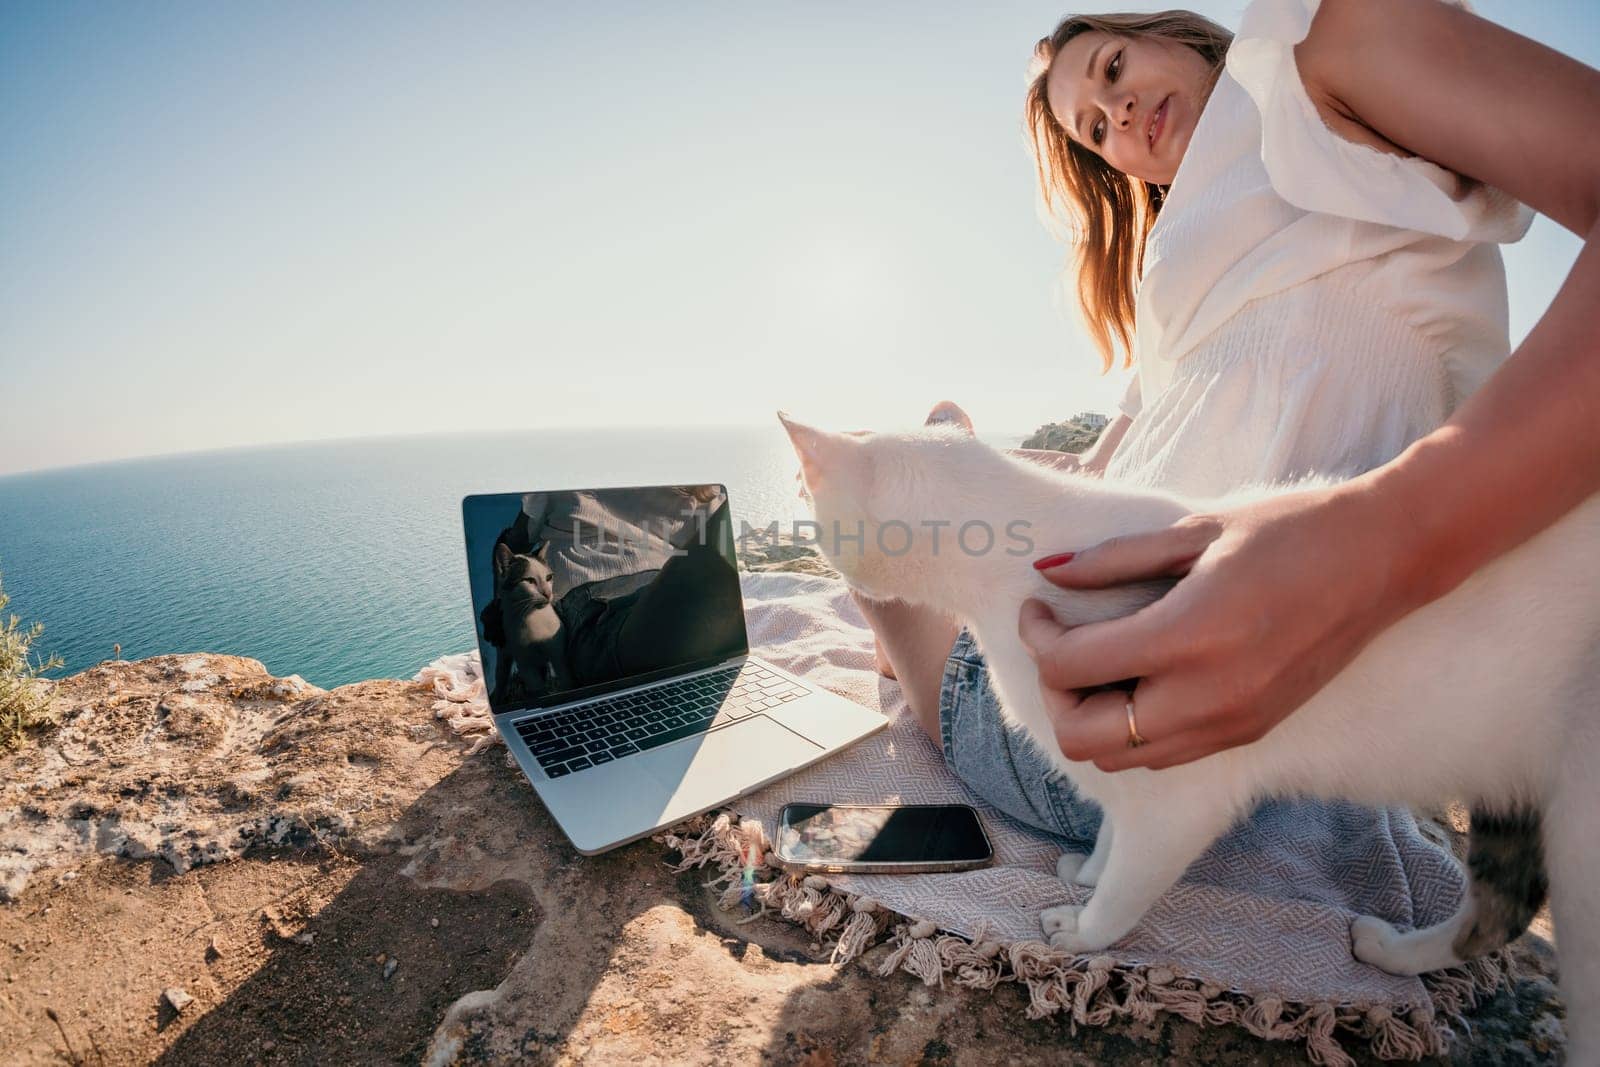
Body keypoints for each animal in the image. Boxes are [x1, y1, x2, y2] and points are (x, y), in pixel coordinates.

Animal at [780, 412, 1593, 1049]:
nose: (821, 553)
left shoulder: (1180, 792)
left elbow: (1130, 882)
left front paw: (1088, 930)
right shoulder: (1115, 756)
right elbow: (1111, 835)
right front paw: (1088, 872)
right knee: (1498, 911)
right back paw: (1396, 953)